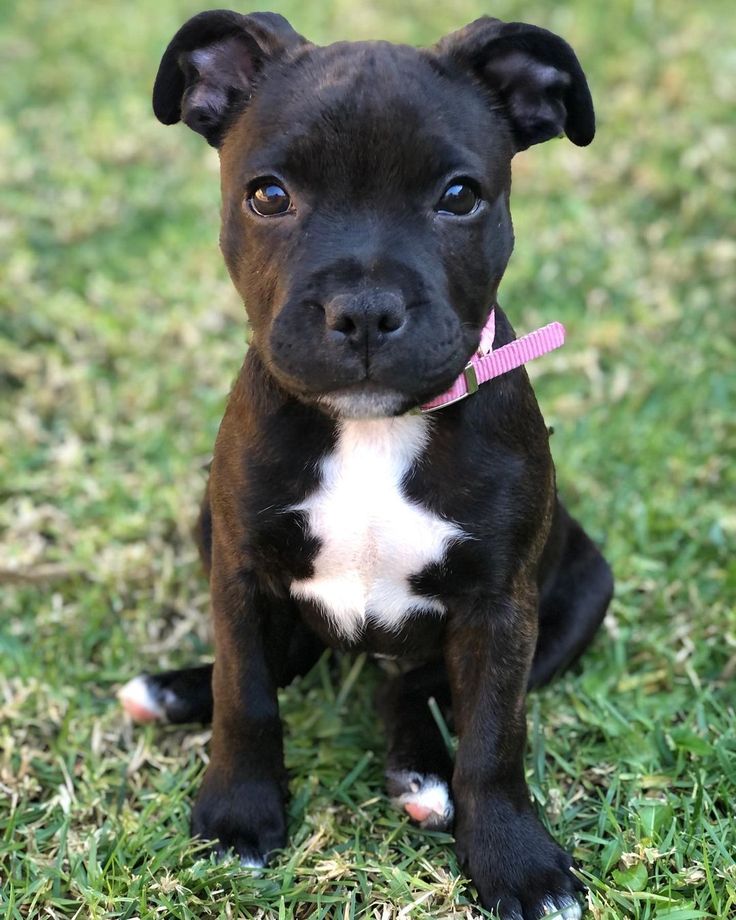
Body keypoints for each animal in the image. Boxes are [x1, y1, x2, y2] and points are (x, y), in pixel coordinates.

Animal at [119, 10, 616, 916]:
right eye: (268, 195)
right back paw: (173, 691)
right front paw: (239, 813)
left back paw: (421, 773)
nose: (364, 310)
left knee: (412, 685)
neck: (373, 430)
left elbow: (494, 737)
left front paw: (516, 861)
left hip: (581, 591)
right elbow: (246, 694)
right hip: (209, 528)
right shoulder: (240, 566)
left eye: (460, 197)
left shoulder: (502, 607)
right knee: (289, 661)